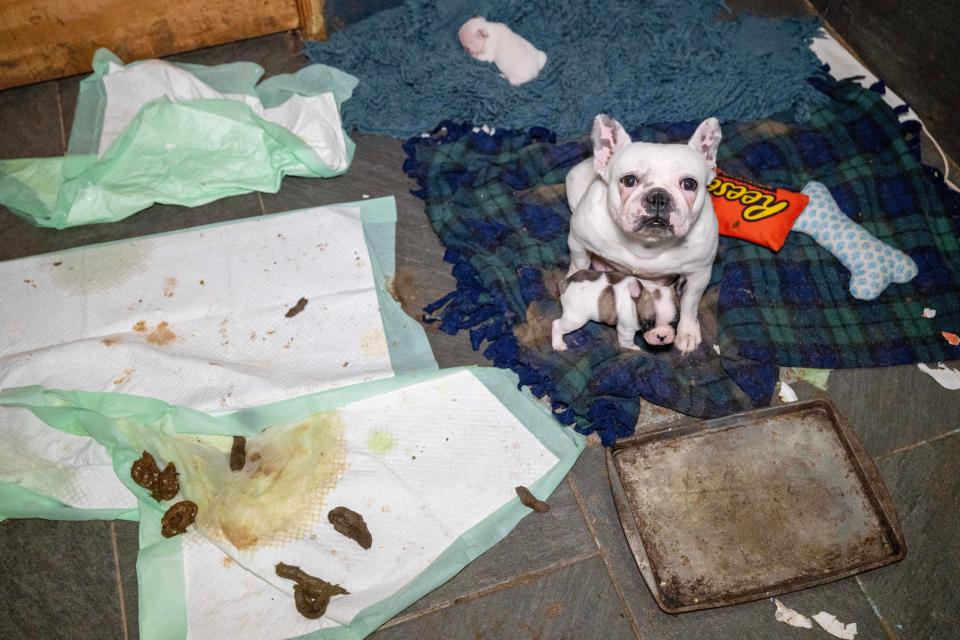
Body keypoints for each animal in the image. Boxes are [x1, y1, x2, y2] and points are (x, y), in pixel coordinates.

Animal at [552, 268, 680, 352]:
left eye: (675, 323)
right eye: (646, 324)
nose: (662, 337)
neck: (634, 302)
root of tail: (566, 282)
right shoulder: (626, 329)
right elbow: (627, 341)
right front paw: (632, 347)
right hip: (576, 318)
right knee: (557, 325)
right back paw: (558, 344)